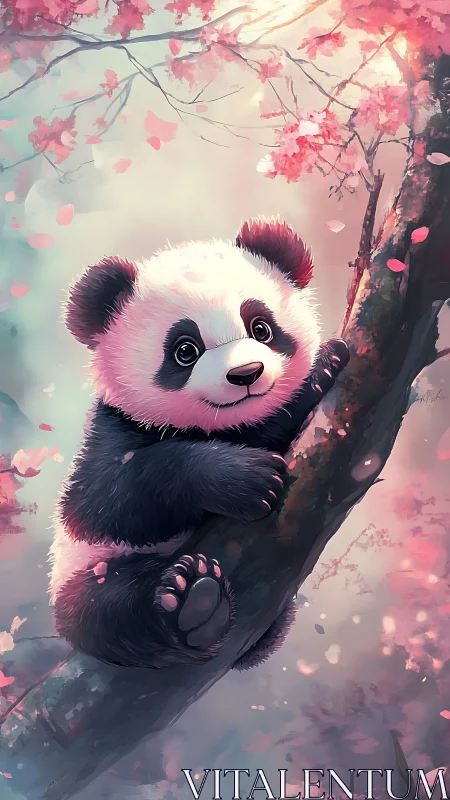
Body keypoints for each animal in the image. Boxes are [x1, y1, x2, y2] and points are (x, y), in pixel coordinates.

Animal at [48, 216, 349, 671]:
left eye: (261, 327)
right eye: (185, 350)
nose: (246, 374)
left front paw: (320, 369)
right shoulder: (113, 430)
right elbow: (110, 499)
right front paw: (248, 478)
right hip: (84, 570)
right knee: (108, 610)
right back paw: (192, 602)